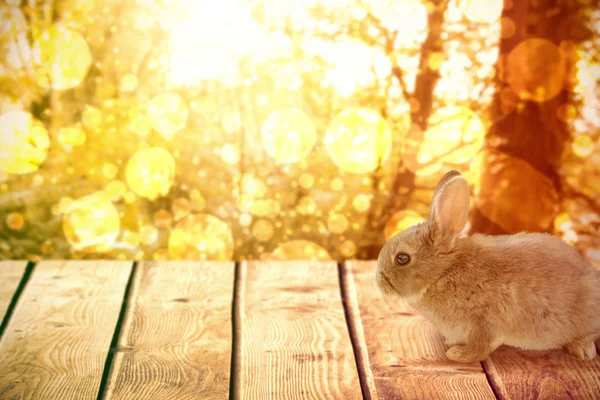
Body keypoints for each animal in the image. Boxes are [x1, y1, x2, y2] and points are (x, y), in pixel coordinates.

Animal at [376, 170, 600, 364]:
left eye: (402, 258)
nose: (379, 282)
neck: (442, 272)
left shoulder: (484, 320)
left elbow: (480, 346)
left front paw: (457, 354)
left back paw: (582, 351)